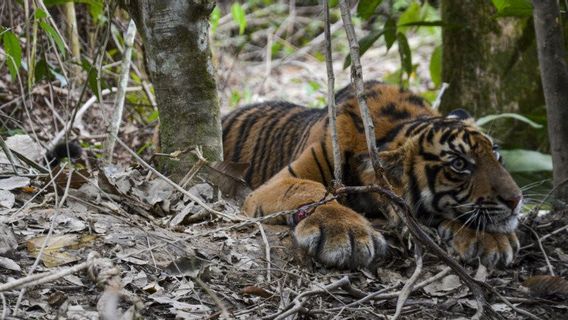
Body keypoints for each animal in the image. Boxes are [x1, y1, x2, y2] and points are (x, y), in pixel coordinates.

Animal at [222, 80, 524, 270]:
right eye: (459, 164)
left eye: (496, 153)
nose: (516, 199)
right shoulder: (279, 181)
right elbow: (310, 189)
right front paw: (345, 233)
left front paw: (491, 240)